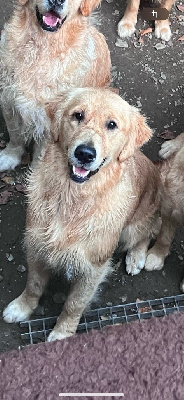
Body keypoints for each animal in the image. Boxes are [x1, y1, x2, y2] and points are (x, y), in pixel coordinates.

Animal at [0, 0, 110, 170]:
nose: (56, 1)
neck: (41, 47)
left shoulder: (51, 123)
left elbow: (41, 158)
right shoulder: (8, 101)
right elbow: (15, 135)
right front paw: (9, 156)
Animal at [3, 88, 161, 340]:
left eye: (112, 124)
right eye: (78, 115)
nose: (85, 153)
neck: (72, 199)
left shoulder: (93, 268)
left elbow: (73, 305)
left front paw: (62, 333)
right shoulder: (36, 246)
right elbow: (33, 285)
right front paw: (21, 307)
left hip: (134, 226)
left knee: (148, 231)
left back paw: (136, 257)